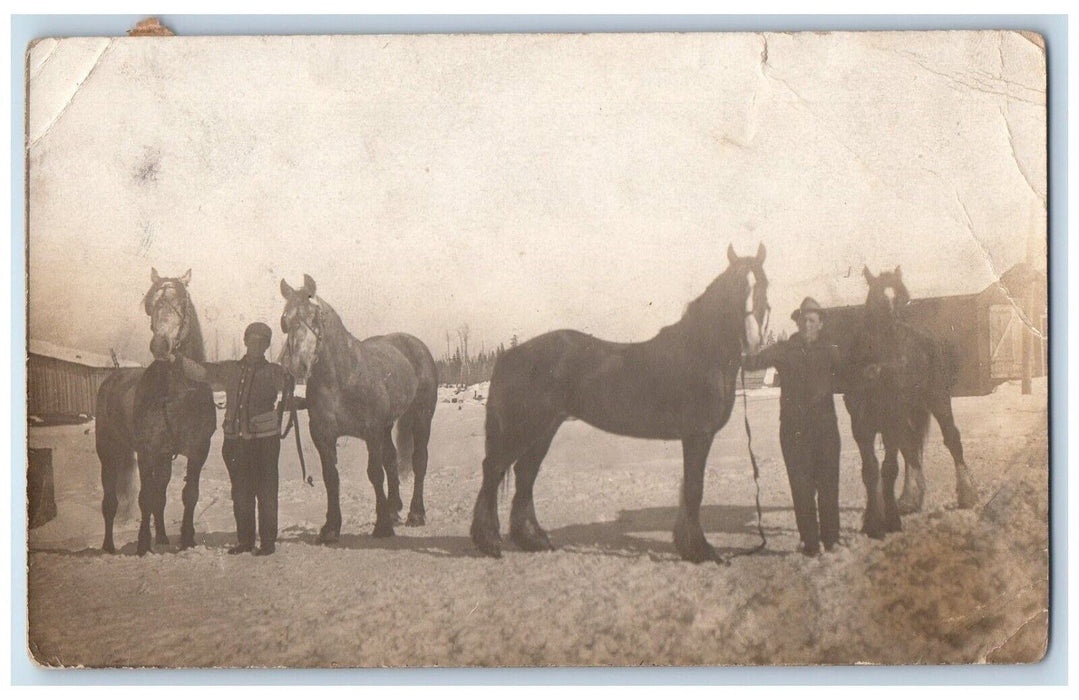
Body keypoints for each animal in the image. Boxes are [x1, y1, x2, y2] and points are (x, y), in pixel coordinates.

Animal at [94, 270, 216, 552]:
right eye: (150, 306)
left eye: (182, 303)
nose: (160, 346)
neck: (180, 397)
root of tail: (113, 377)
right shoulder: (146, 452)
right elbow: (145, 498)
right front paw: (142, 545)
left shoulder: (197, 451)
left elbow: (188, 495)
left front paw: (187, 540)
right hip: (109, 453)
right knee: (111, 502)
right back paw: (109, 546)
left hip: (162, 458)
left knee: (160, 495)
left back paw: (161, 537)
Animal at [278, 272, 438, 541]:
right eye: (284, 320)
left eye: (314, 315)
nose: (296, 366)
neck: (343, 379)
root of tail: (415, 345)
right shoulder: (323, 435)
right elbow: (331, 477)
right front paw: (331, 528)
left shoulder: (371, 432)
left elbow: (374, 473)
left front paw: (381, 526)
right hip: (387, 426)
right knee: (391, 460)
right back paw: (393, 509)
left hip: (421, 417)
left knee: (419, 460)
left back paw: (416, 514)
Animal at [470, 242, 768, 565]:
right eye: (735, 287)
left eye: (763, 285)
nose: (753, 343)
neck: (700, 352)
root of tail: (510, 356)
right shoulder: (697, 435)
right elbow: (693, 489)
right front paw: (699, 550)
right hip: (524, 428)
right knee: (494, 469)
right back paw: (489, 542)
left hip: (545, 428)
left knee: (525, 474)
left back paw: (532, 540)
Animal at [841, 265, 979, 537]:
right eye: (876, 302)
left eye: (905, 299)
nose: (897, 365)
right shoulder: (860, 425)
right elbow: (870, 470)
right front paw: (873, 521)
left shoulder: (891, 419)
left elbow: (889, 468)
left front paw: (891, 521)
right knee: (911, 448)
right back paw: (909, 499)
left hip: (937, 400)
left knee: (951, 439)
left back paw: (966, 495)